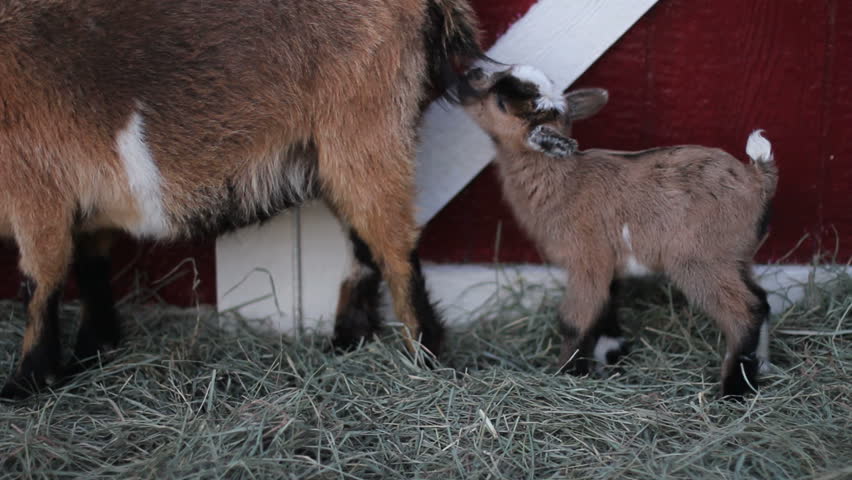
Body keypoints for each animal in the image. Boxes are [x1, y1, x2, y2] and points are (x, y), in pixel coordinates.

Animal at [0, 0, 497, 399]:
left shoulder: (35, 190)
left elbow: (41, 281)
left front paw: (26, 383)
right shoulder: (89, 207)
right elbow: (90, 268)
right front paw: (93, 351)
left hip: (367, 131)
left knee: (395, 246)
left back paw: (424, 357)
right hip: (337, 152)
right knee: (365, 241)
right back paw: (347, 340)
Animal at [461, 65, 777, 397]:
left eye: (501, 101)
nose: (470, 73)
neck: (564, 180)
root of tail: (757, 178)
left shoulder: (586, 258)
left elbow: (575, 319)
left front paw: (567, 374)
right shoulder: (607, 261)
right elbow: (605, 308)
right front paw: (610, 359)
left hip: (699, 258)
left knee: (744, 312)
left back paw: (734, 391)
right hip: (737, 255)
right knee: (760, 300)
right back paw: (762, 366)